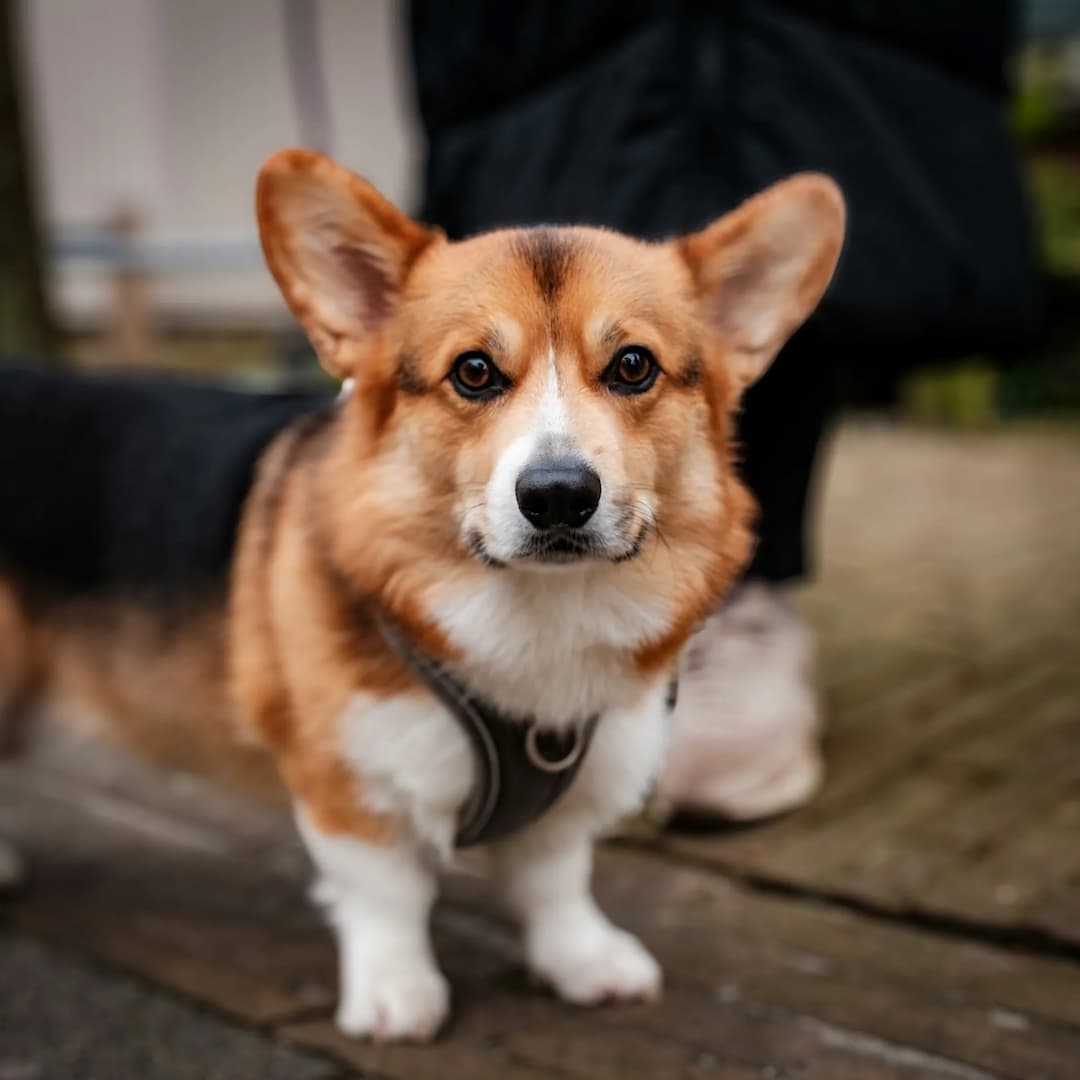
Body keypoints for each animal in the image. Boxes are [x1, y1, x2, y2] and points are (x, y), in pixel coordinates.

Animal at [0, 150, 842, 1036]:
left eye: (633, 365)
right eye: (473, 371)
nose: (557, 496)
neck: (540, 613)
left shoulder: (568, 795)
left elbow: (555, 878)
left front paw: (581, 960)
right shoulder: (348, 785)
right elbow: (387, 893)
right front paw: (397, 994)